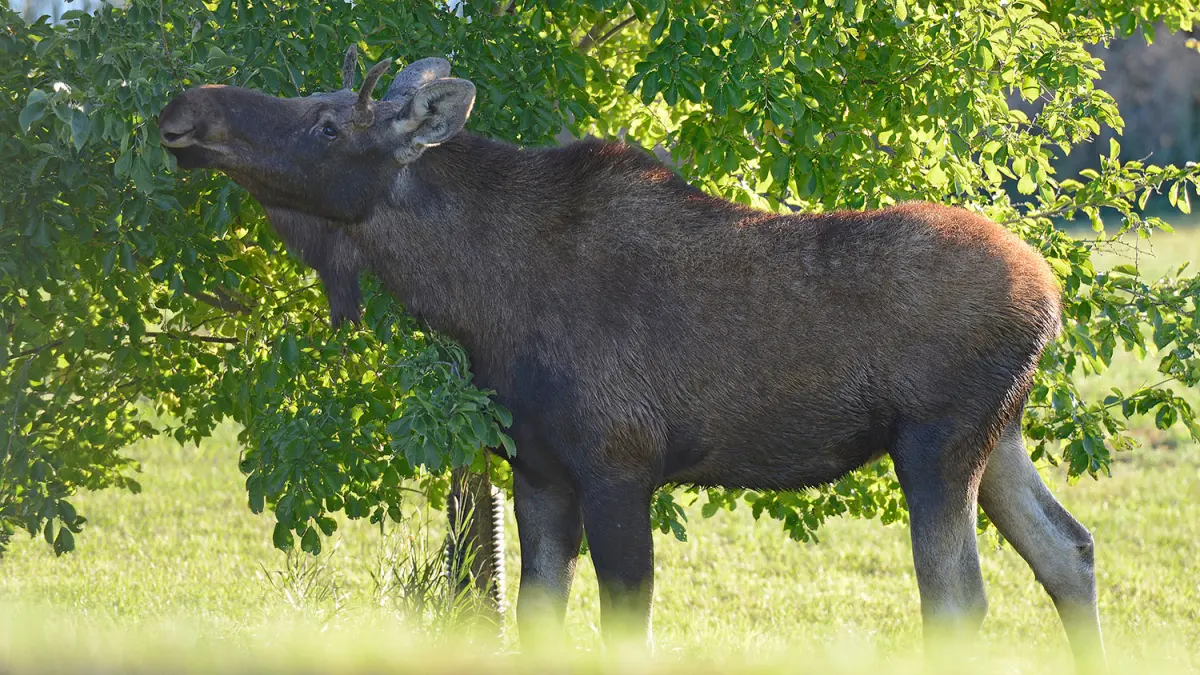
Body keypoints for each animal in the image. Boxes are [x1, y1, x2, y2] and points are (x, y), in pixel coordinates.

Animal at [157, 47, 1105, 671]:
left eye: (325, 122)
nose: (182, 110)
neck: (474, 300)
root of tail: (1053, 298)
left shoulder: (619, 463)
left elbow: (624, 623)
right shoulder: (538, 471)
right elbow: (536, 617)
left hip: (939, 442)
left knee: (959, 598)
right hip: (1000, 435)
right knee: (1070, 550)